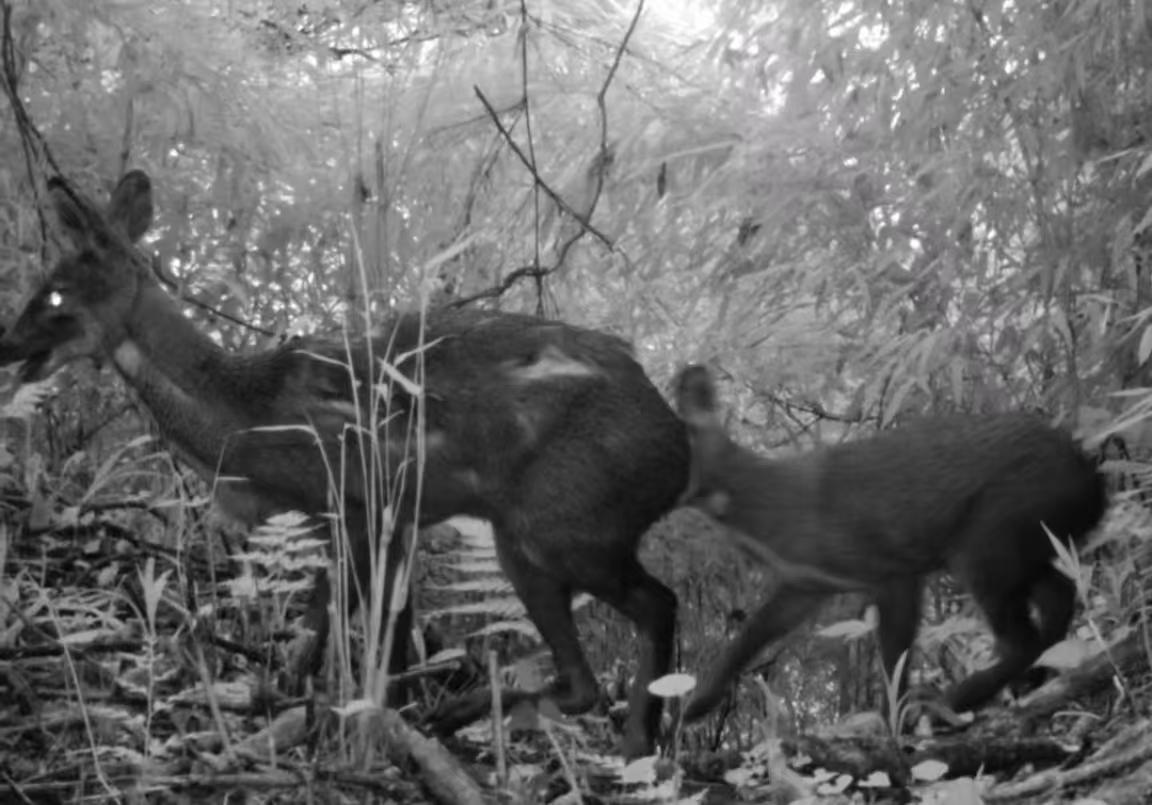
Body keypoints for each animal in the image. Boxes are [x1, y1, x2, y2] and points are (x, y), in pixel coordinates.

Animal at [0, 171, 686, 760]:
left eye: (54, 293)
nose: (6, 344)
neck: (249, 416)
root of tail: (677, 450)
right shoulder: (398, 517)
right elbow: (391, 633)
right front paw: (384, 717)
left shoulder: (353, 500)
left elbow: (317, 626)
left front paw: (286, 708)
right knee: (601, 662)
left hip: (556, 524)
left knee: (644, 618)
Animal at [672, 366, 1105, 723]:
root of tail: (1094, 482)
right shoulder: (809, 582)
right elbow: (753, 632)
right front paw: (698, 702)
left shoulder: (890, 566)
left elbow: (893, 659)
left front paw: (891, 722)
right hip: (1030, 544)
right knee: (1060, 595)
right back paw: (1043, 676)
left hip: (989, 537)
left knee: (1021, 638)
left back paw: (950, 702)